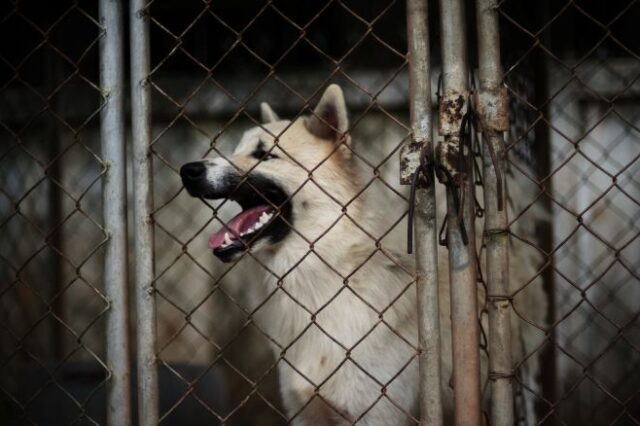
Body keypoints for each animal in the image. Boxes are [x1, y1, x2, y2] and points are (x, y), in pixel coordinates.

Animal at [180, 85, 544, 424]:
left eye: (264, 155)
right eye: (236, 150)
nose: (188, 170)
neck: (322, 275)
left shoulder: (377, 413)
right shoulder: (305, 413)